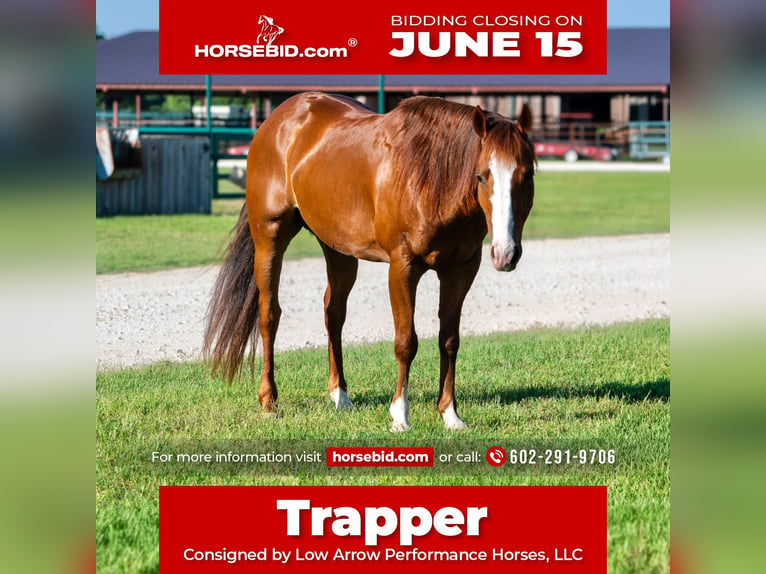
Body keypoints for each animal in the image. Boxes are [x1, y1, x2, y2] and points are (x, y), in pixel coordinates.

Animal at [203, 92, 536, 431]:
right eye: (481, 176)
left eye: (528, 175)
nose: (506, 253)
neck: (431, 181)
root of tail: (276, 120)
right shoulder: (403, 268)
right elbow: (406, 342)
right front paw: (400, 415)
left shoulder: (461, 270)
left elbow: (449, 340)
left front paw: (450, 414)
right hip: (269, 238)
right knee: (269, 314)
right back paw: (269, 400)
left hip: (338, 249)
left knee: (333, 314)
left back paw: (340, 396)